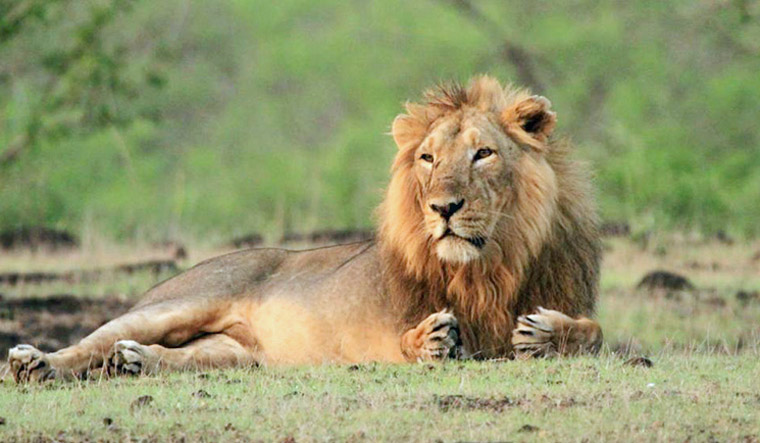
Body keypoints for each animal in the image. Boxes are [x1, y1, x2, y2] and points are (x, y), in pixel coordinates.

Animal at [5, 74, 600, 384]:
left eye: (483, 154)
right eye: (428, 158)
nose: (443, 208)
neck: (490, 267)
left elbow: (593, 334)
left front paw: (546, 333)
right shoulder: (378, 334)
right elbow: (405, 339)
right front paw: (432, 339)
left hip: (238, 354)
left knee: (175, 357)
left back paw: (135, 361)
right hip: (175, 304)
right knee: (89, 343)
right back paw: (35, 363)